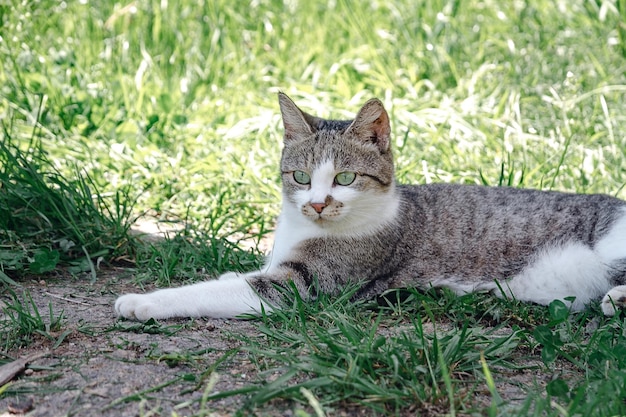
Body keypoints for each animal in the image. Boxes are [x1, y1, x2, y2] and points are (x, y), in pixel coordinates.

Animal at [114, 92, 624, 320]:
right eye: (301, 177)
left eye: (344, 178)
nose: (319, 204)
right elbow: (237, 274)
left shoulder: (305, 285)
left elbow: (217, 290)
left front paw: (142, 302)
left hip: (610, 246)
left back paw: (614, 300)